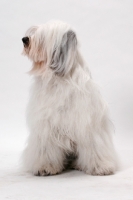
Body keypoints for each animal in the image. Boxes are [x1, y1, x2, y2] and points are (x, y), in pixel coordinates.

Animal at [21, 20, 118, 176]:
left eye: (42, 36)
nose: (24, 39)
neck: (58, 79)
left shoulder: (86, 123)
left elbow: (94, 145)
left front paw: (100, 167)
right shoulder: (46, 124)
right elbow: (46, 148)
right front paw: (45, 167)